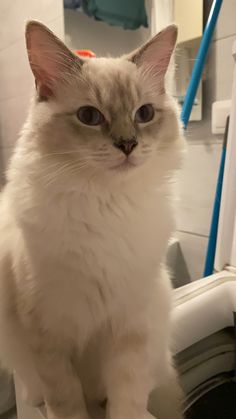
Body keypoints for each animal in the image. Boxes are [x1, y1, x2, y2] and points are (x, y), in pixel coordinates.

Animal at [0, 21, 184, 419]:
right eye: (89, 117)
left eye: (144, 114)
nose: (128, 144)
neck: (106, 203)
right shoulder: (50, 338)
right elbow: (67, 403)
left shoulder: (129, 329)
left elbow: (127, 401)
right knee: (34, 386)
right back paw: (36, 400)